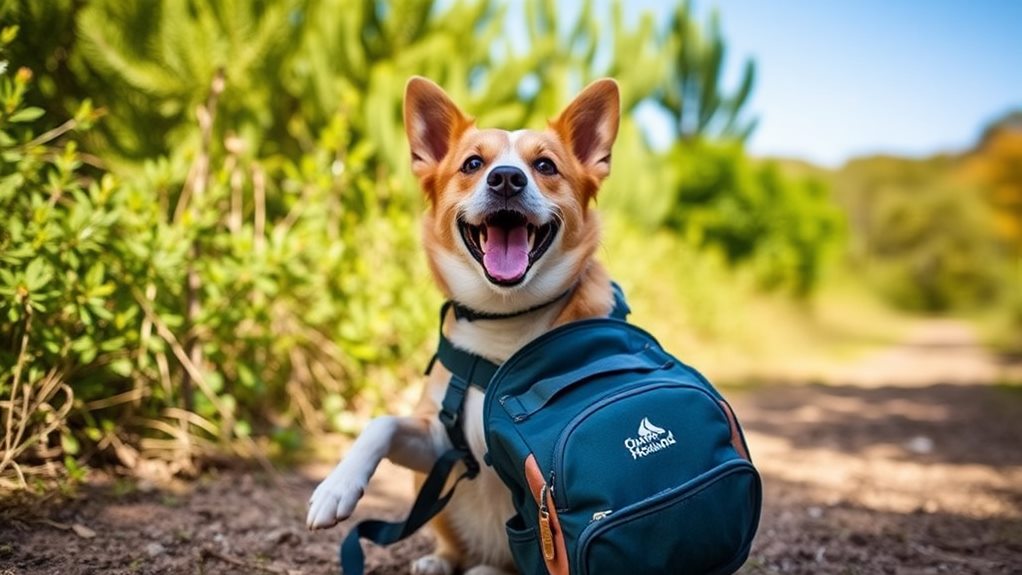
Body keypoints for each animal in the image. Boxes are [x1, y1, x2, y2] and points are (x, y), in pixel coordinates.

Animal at [306, 77, 617, 575]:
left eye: (544, 165)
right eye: (473, 163)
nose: (506, 178)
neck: (503, 325)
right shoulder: (440, 444)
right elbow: (381, 423)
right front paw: (338, 485)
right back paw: (438, 560)